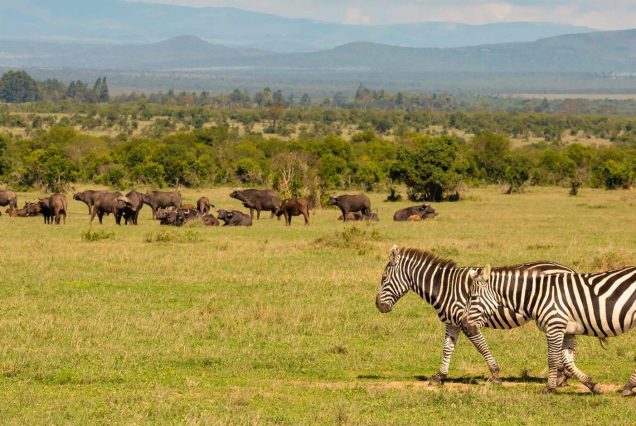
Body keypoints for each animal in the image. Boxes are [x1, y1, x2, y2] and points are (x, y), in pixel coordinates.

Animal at [376, 245, 577, 385]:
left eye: (384, 278)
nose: (378, 305)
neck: (445, 287)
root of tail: (569, 269)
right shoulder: (452, 323)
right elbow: (447, 349)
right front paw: (439, 377)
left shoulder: (467, 322)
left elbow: (481, 346)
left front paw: (495, 374)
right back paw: (563, 376)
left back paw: (561, 377)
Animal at [461, 264, 636, 395]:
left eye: (473, 297)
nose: (465, 326)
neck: (539, 294)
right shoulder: (567, 330)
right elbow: (568, 361)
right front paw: (592, 385)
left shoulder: (554, 326)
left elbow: (552, 359)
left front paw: (549, 388)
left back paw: (628, 387)